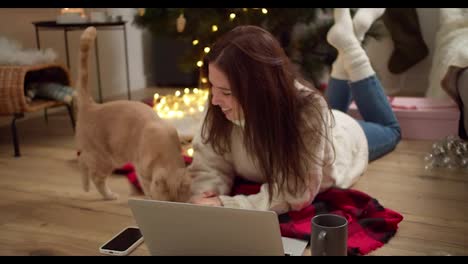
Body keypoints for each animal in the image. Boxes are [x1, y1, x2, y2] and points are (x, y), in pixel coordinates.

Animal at [76, 26, 191, 201]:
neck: (165, 148)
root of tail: (91, 105)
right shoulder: (141, 170)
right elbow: (146, 185)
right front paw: (150, 196)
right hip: (104, 158)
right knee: (90, 170)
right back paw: (102, 192)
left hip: (107, 158)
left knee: (83, 161)